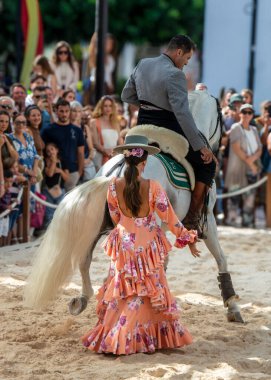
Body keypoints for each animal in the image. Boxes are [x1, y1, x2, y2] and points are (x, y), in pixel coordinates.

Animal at [23, 90, 244, 322]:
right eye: (221, 116)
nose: (218, 148)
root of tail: (115, 173)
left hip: (98, 228)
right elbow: (221, 258)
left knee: (87, 260)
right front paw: (232, 305)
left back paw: (88, 300)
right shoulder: (208, 219)